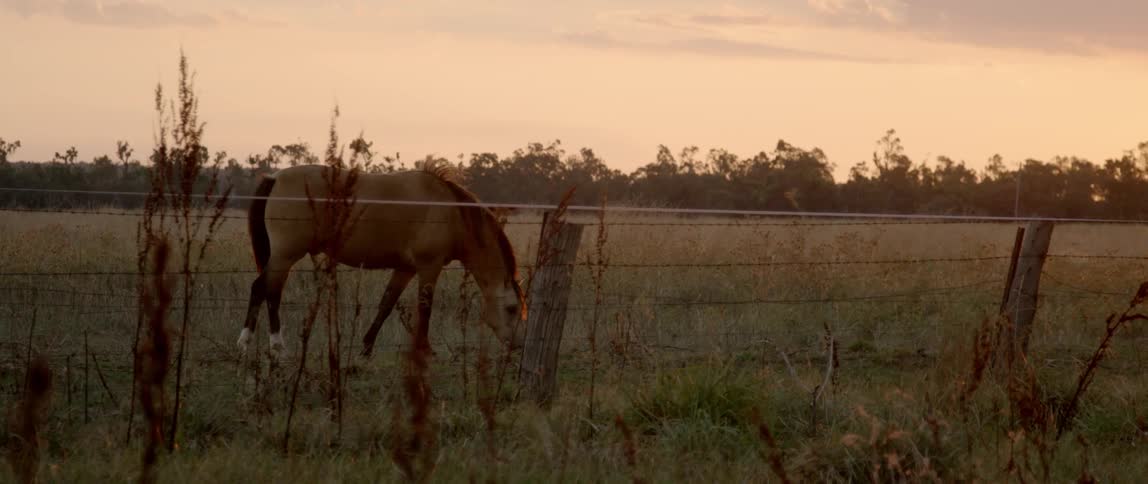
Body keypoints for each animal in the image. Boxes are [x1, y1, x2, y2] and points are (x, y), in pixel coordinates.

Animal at [236, 162, 526, 360]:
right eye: (512, 308)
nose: (518, 345)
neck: (451, 212)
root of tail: (276, 177)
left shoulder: (405, 268)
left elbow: (386, 304)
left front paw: (366, 348)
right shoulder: (428, 267)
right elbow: (425, 308)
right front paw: (425, 350)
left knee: (264, 290)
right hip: (285, 255)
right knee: (267, 290)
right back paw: (271, 345)